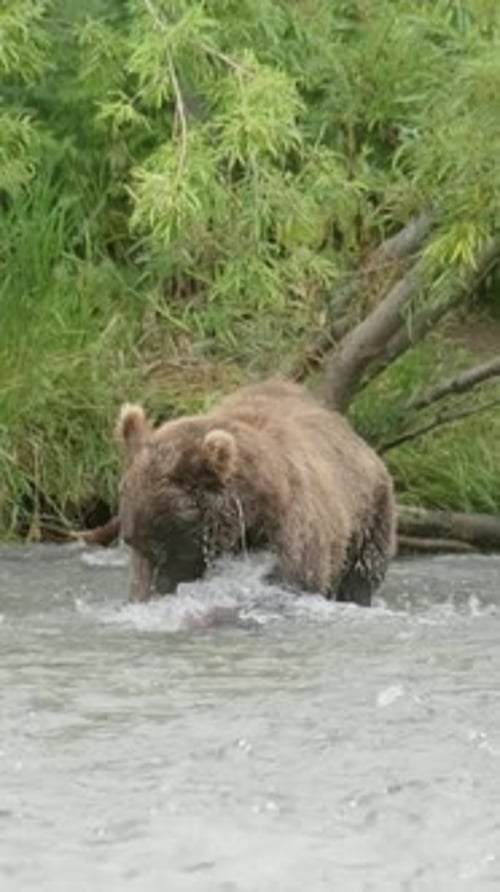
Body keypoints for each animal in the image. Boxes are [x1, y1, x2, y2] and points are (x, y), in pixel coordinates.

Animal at [115, 377, 396, 606]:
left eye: (165, 547)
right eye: (132, 542)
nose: (152, 592)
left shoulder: (289, 535)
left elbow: (296, 578)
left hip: (367, 518)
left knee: (361, 575)